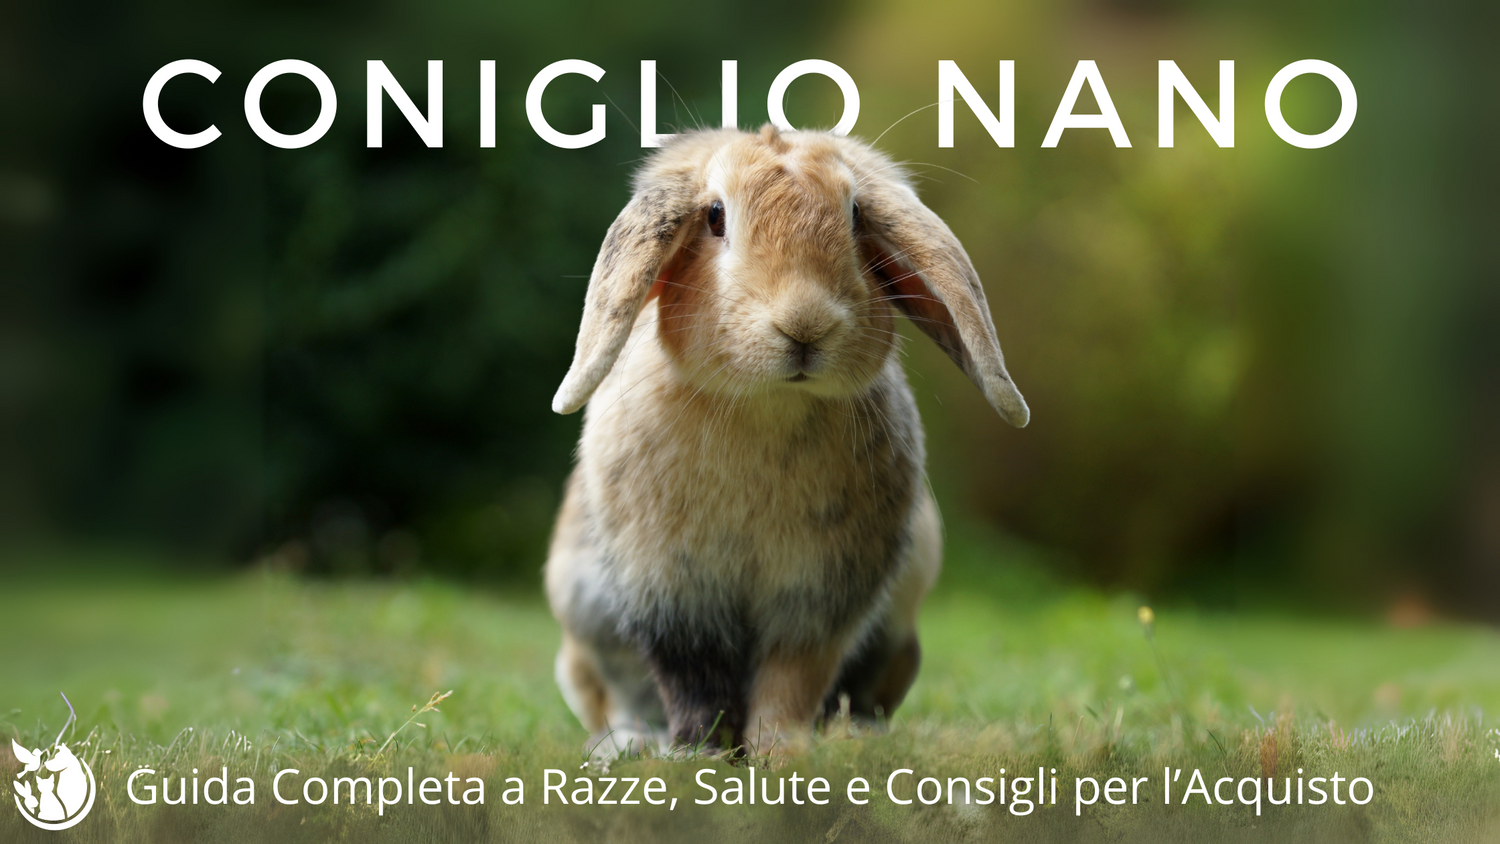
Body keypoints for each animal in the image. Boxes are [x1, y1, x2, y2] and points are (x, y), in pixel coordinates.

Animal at [545, 125, 1027, 756]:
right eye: (715, 216)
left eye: (854, 214)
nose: (805, 324)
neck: (768, 404)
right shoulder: (672, 591)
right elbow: (694, 683)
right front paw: (698, 754)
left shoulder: (820, 597)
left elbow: (791, 679)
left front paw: (784, 753)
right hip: (583, 635)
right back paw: (627, 745)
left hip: (897, 640)